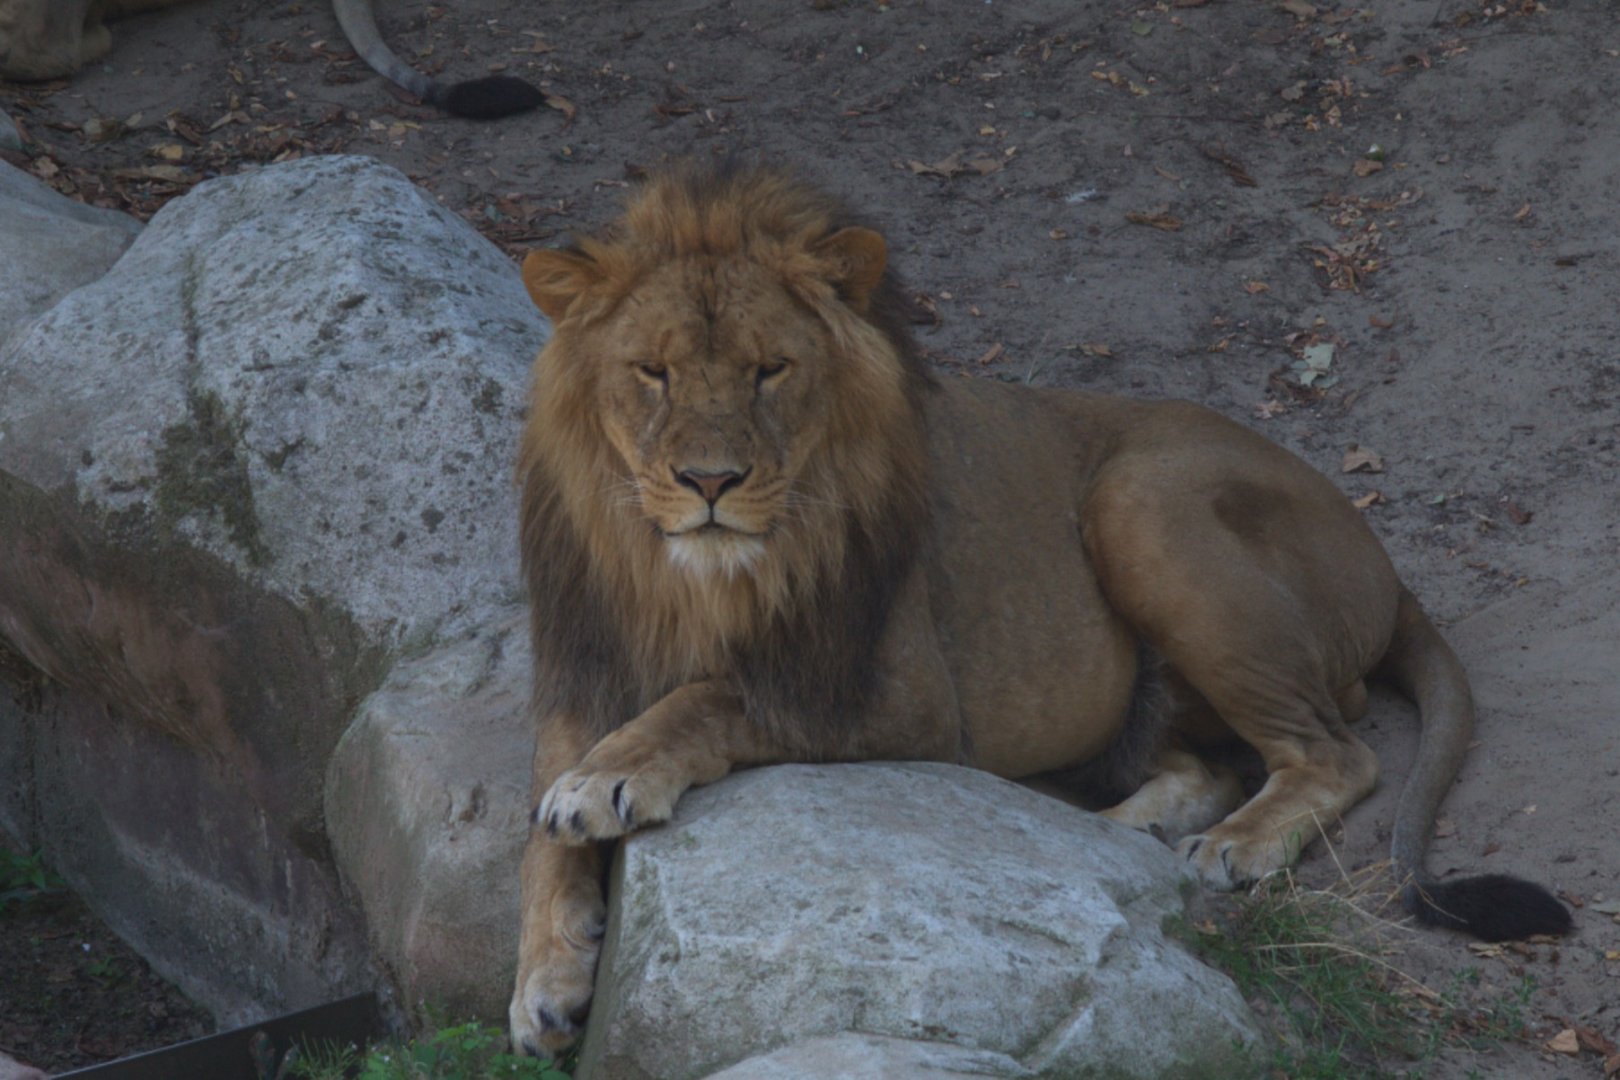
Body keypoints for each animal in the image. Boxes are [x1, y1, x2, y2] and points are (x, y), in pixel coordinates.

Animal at [506, 163, 1571, 1057]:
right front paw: (546, 982)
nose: (711, 483)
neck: (682, 575)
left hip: (1140, 500)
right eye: (653, 372)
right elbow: (539, 820)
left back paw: (1231, 845)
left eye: (771, 369)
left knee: (1336, 751)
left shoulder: (902, 697)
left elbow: (709, 699)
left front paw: (611, 779)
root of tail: (1388, 572)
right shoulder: (581, 665)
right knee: (1210, 763)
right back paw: (1124, 829)